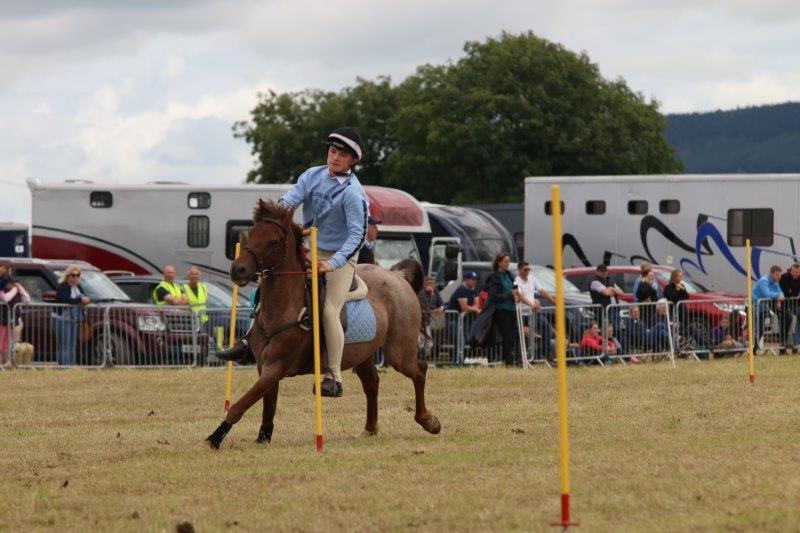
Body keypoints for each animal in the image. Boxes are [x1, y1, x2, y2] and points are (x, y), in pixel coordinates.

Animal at [205, 200, 441, 449]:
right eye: (250, 234)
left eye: (273, 241)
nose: (238, 270)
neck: (283, 308)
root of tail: (397, 276)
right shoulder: (264, 367)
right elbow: (268, 406)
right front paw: (263, 437)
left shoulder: (276, 367)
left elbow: (241, 405)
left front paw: (215, 438)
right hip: (363, 354)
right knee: (372, 383)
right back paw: (370, 428)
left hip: (398, 353)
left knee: (420, 370)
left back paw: (429, 421)